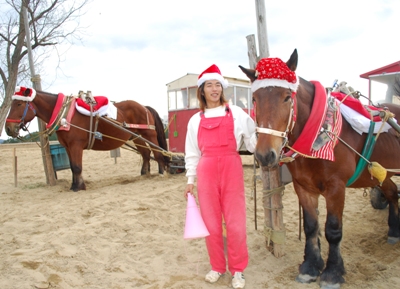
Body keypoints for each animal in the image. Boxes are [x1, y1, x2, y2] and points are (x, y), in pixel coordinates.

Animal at [5, 88, 170, 191]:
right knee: (146, 154)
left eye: (19, 103)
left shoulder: (75, 145)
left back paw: (162, 173)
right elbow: (73, 167)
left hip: (149, 135)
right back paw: (144, 174)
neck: (66, 114)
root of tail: (144, 107)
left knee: (157, 153)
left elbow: (77, 167)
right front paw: (74, 185)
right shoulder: (67, 147)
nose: (8, 128)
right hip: (137, 136)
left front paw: (79, 187)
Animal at [241, 48, 400, 286]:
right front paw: (310, 266)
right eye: (254, 98)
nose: (264, 154)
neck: (318, 135)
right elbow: (311, 227)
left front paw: (333, 271)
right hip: (382, 174)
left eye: (287, 97)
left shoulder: (336, 188)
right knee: (392, 192)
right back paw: (394, 229)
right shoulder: (303, 187)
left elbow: (332, 230)